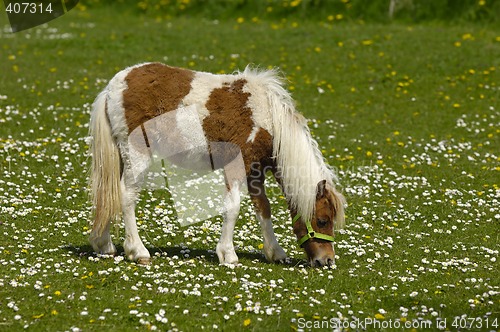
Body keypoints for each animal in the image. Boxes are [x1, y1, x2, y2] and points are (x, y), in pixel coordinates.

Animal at [88, 63, 346, 268]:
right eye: (322, 220)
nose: (327, 260)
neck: (267, 118)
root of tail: (113, 88)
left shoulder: (255, 172)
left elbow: (263, 208)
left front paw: (275, 252)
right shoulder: (236, 167)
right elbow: (232, 208)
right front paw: (228, 255)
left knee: (110, 194)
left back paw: (104, 245)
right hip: (137, 154)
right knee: (126, 196)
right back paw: (137, 251)